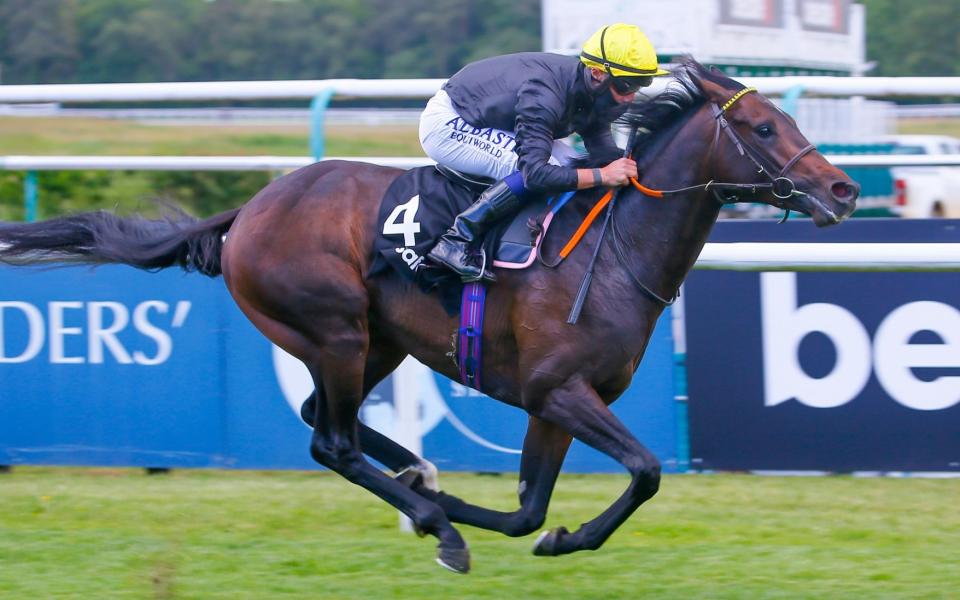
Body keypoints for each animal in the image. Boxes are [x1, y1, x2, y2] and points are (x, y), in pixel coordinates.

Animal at [0, 59, 856, 572]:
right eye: (763, 128)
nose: (844, 189)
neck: (614, 252)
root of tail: (248, 210)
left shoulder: (557, 402)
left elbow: (530, 510)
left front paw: (547, 532)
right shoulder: (559, 391)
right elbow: (644, 471)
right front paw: (499, 529)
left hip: (376, 342)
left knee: (327, 420)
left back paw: (422, 480)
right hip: (336, 329)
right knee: (331, 443)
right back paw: (431, 520)